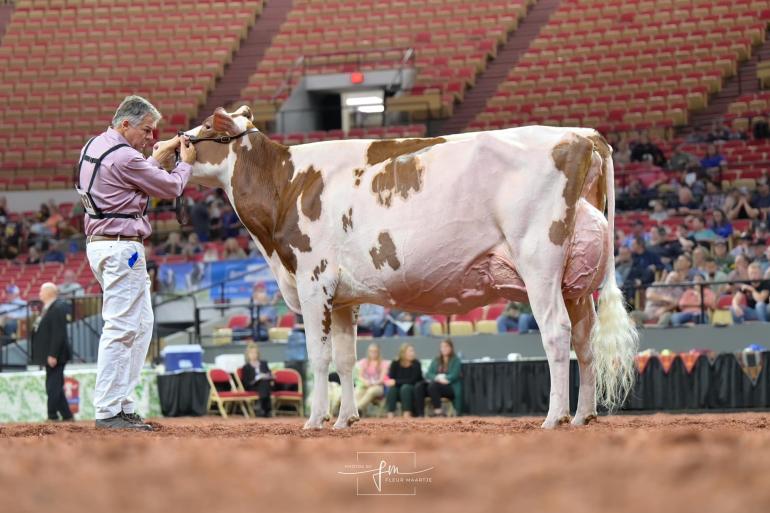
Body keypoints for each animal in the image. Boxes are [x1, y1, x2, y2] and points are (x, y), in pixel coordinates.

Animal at [178, 107, 636, 428]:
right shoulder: (344, 299)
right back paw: (584, 415)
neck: (287, 184)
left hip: (539, 260)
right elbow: (346, 359)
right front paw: (345, 420)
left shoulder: (313, 280)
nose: (175, 142)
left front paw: (315, 420)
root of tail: (579, 134)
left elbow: (318, 356)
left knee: (556, 333)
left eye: (207, 127)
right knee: (585, 339)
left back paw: (554, 417)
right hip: (574, 280)